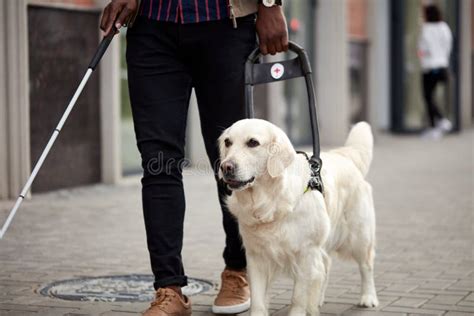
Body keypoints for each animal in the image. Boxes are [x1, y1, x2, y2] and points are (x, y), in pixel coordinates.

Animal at [218, 119, 378, 316]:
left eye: (253, 143)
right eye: (227, 142)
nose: (225, 167)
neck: (268, 202)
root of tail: (344, 156)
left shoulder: (306, 252)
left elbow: (299, 295)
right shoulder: (256, 256)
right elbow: (257, 298)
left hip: (359, 236)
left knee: (366, 266)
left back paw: (368, 297)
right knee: (326, 264)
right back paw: (318, 300)